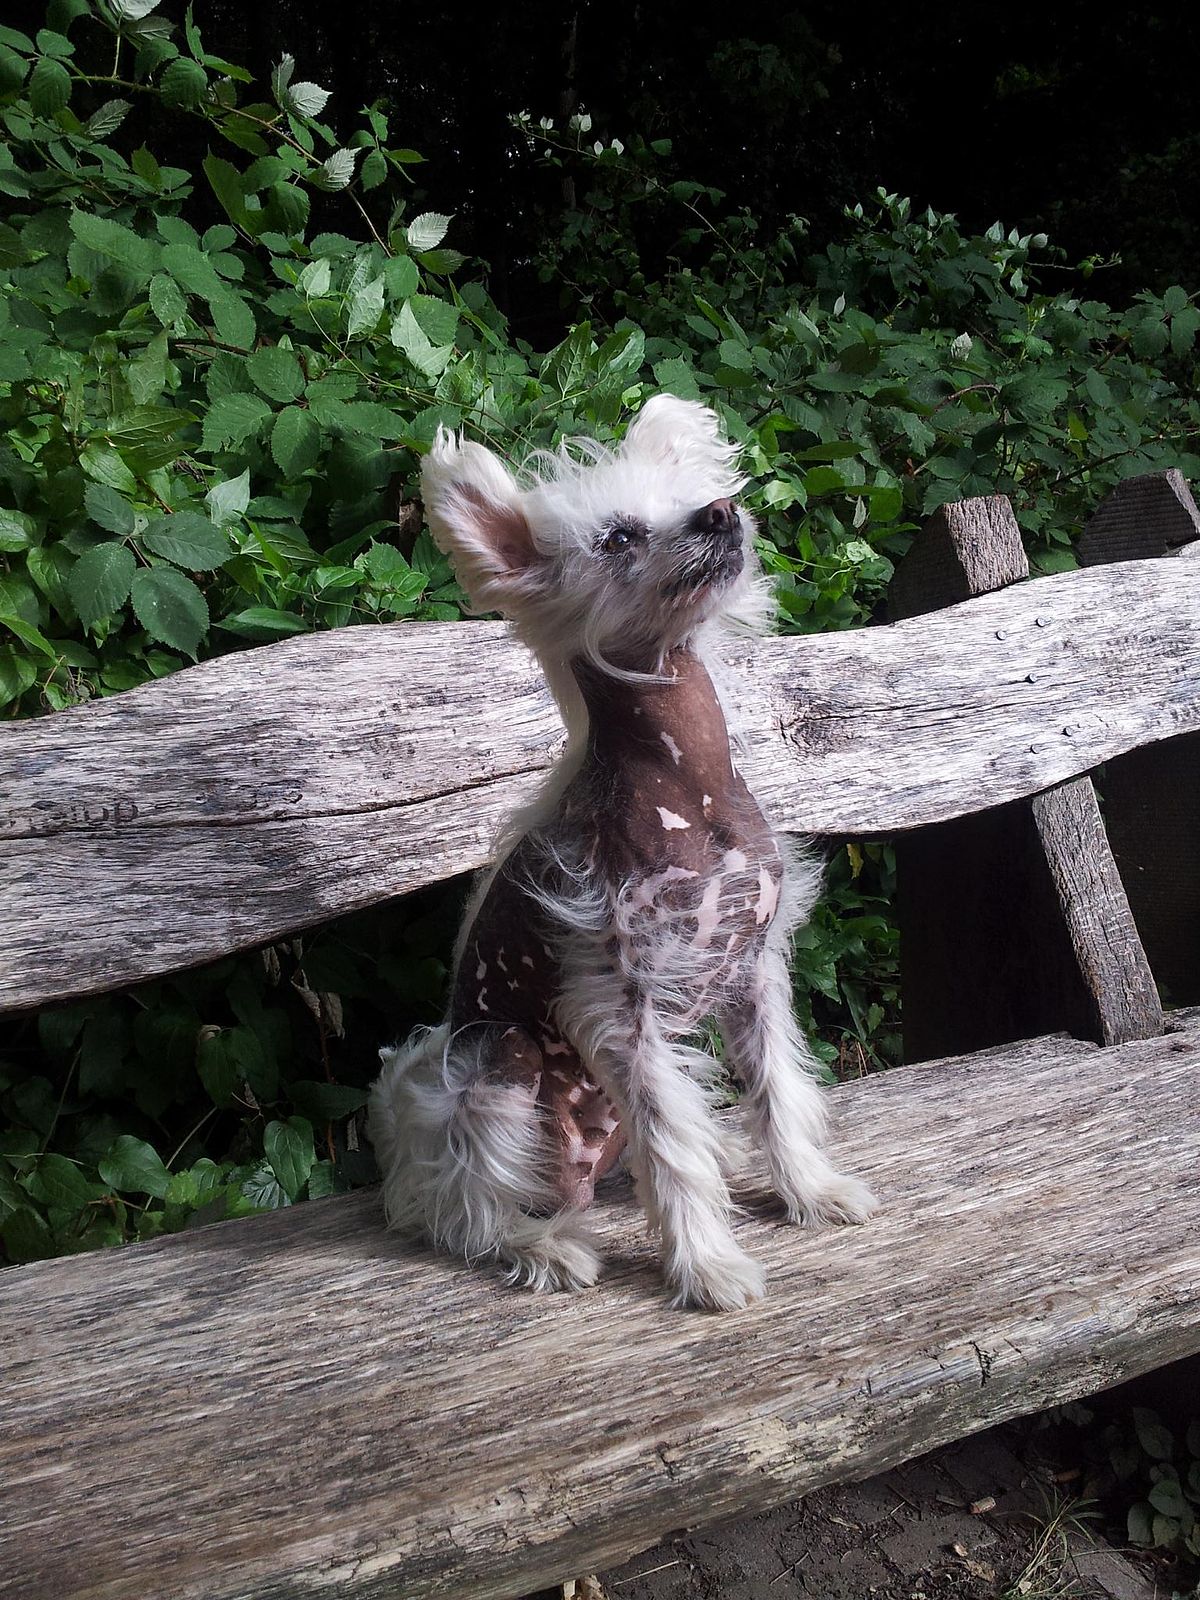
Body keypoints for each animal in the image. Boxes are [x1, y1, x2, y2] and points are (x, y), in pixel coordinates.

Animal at [364, 393, 876, 1305]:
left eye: (693, 499)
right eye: (618, 537)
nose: (721, 513)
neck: (690, 788)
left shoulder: (752, 974)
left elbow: (778, 1093)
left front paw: (810, 1190)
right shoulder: (621, 1004)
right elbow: (671, 1145)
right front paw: (707, 1268)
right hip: (493, 1073)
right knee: (459, 1211)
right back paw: (541, 1248)